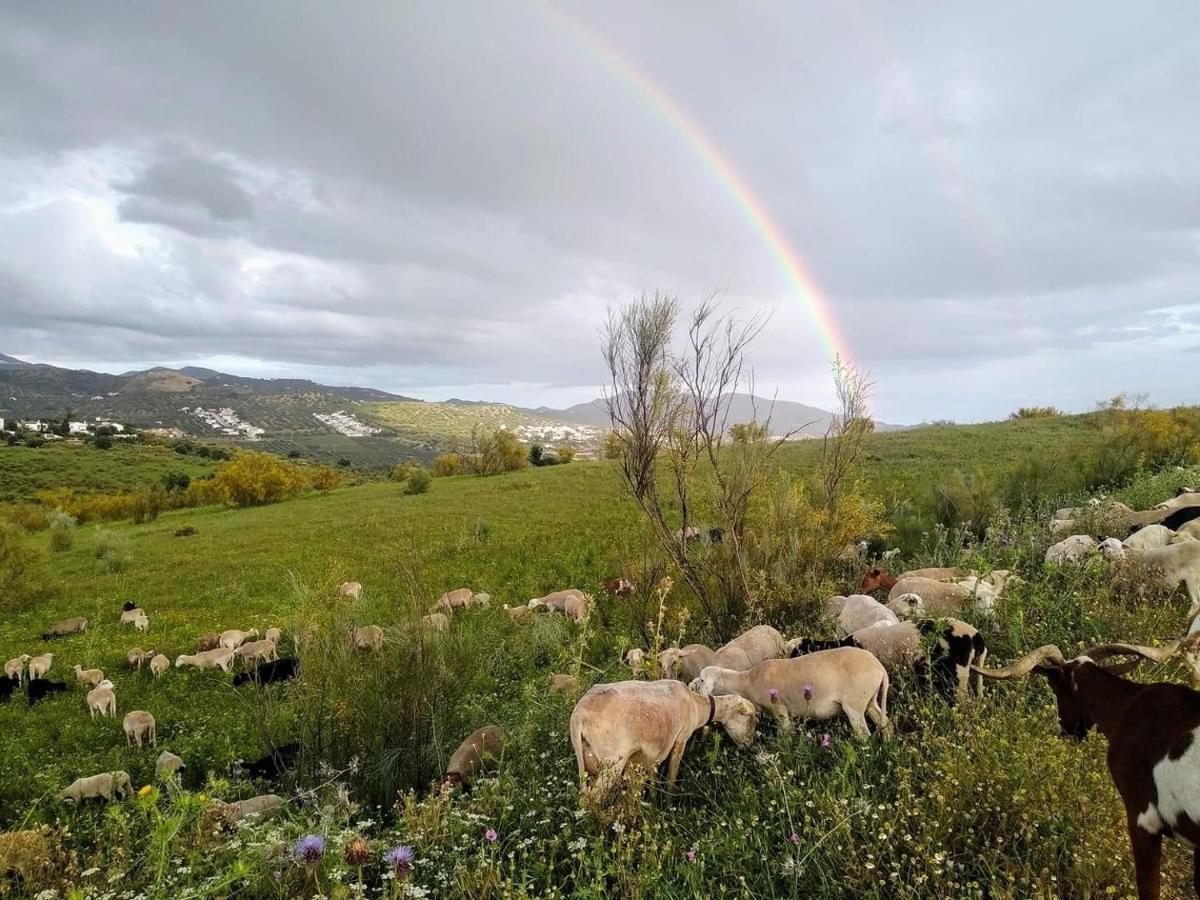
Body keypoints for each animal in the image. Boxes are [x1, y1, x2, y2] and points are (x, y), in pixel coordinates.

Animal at [566, 681, 753, 806]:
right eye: (752, 717)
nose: (749, 746)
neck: (697, 705)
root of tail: (579, 715)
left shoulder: (652, 756)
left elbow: (653, 777)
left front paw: (654, 797)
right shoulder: (681, 738)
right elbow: (672, 774)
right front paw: (669, 802)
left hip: (587, 760)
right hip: (612, 761)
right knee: (591, 800)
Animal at [696, 648, 892, 739]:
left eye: (702, 679)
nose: (696, 691)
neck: (748, 681)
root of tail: (880, 668)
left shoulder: (779, 708)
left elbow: (786, 731)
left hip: (855, 703)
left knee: (864, 735)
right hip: (869, 699)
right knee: (885, 723)